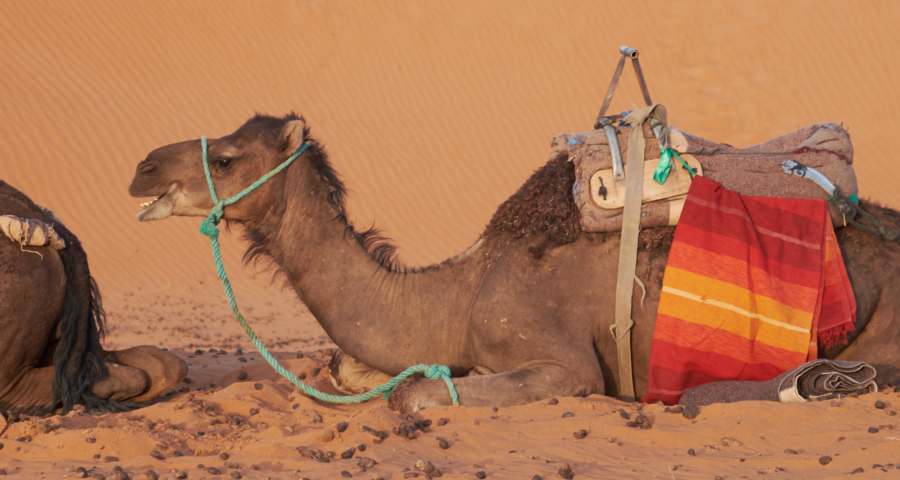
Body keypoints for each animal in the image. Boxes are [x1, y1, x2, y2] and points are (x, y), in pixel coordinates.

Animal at [126, 113, 900, 412]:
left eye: (227, 158)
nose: (142, 169)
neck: (460, 293)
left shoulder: (566, 364)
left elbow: (416, 393)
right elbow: (359, 369)